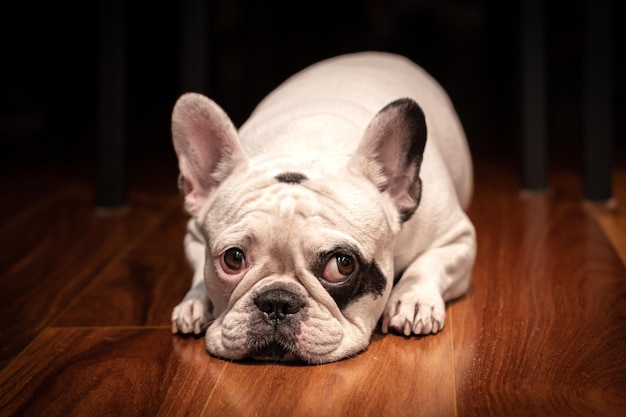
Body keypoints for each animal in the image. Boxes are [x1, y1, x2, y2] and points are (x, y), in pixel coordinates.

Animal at [168, 52, 470, 362]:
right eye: (233, 258)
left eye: (342, 264)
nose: (277, 301)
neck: (306, 149)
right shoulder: (194, 235)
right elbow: (199, 270)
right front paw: (195, 300)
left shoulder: (456, 237)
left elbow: (428, 265)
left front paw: (413, 300)